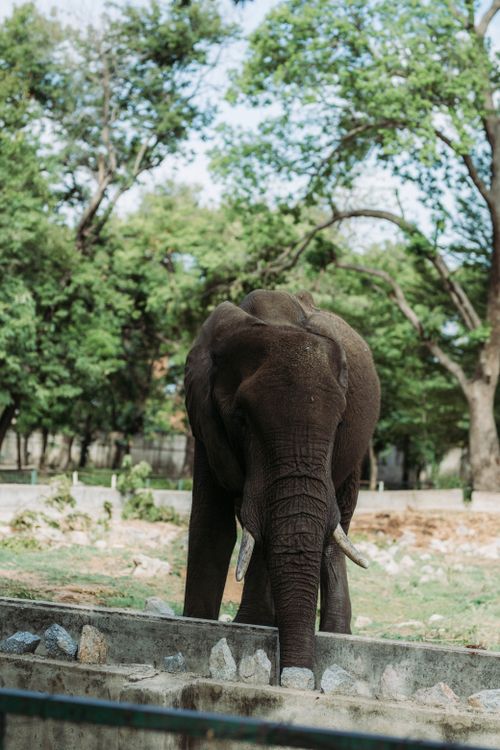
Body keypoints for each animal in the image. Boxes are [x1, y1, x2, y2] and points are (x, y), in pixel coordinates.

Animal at [183, 289, 380, 685]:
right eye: (240, 420)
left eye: (339, 423)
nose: (297, 677)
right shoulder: (206, 423)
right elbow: (212, 527)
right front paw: (204, 624)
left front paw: (253, 624)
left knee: (339, 527)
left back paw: (336, 633)